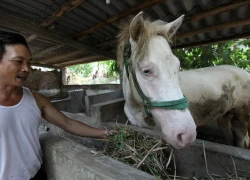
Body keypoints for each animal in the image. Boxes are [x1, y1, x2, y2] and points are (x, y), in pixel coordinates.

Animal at [117, 11, 250, 149]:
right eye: (146, 71)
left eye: (177, 65)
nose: (187, 135)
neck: (135, 107)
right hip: (224, 116)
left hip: (241, 116)